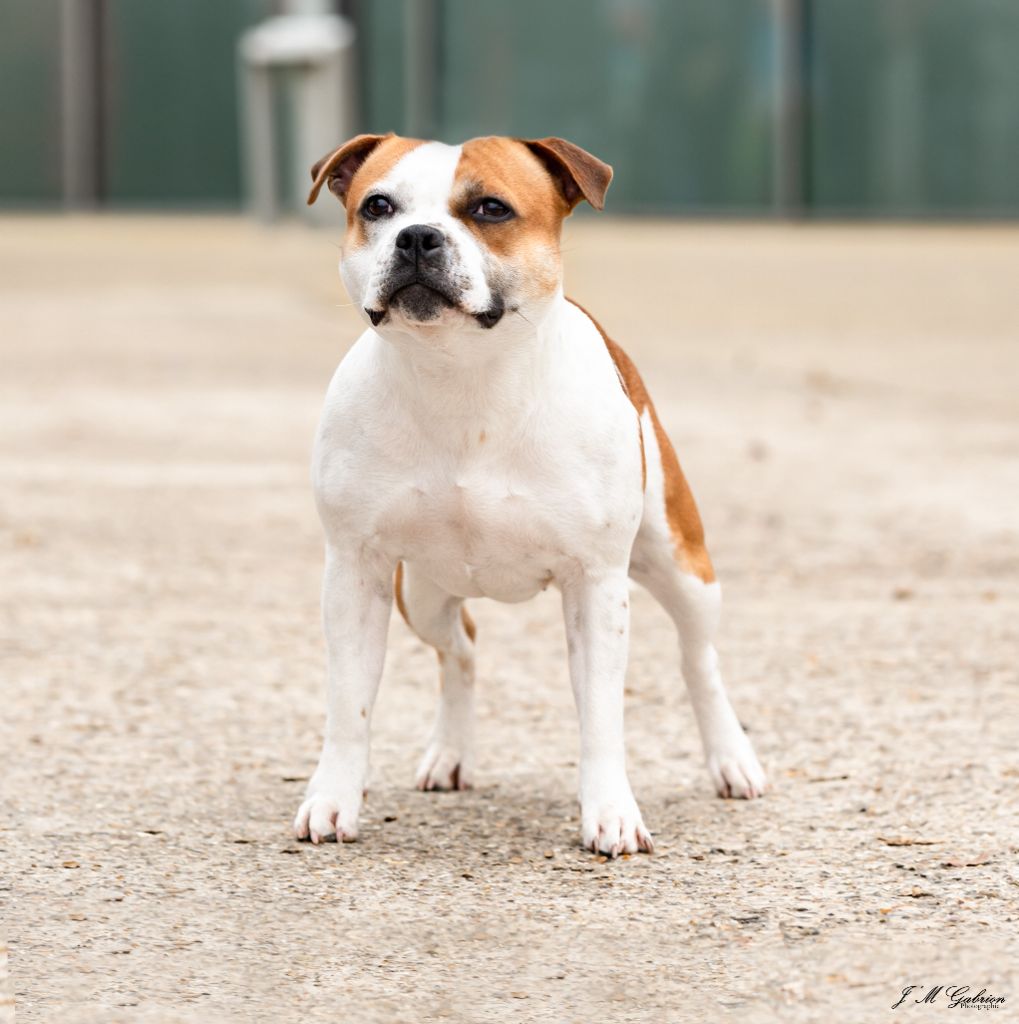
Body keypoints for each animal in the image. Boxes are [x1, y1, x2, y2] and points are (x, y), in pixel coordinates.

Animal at [288, 134, 766, 856]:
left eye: (491, 208)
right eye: (377, 206)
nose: (417, 237)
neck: (460, 375)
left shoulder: (596, 585)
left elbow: (601, 712)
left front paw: (611, 812)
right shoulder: (354, 571)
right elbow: (350, 704)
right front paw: (333, 799)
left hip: (682, 567)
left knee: (697, 660)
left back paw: (731, 760)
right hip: (420, 594)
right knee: (460, 647)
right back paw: (450, 753)